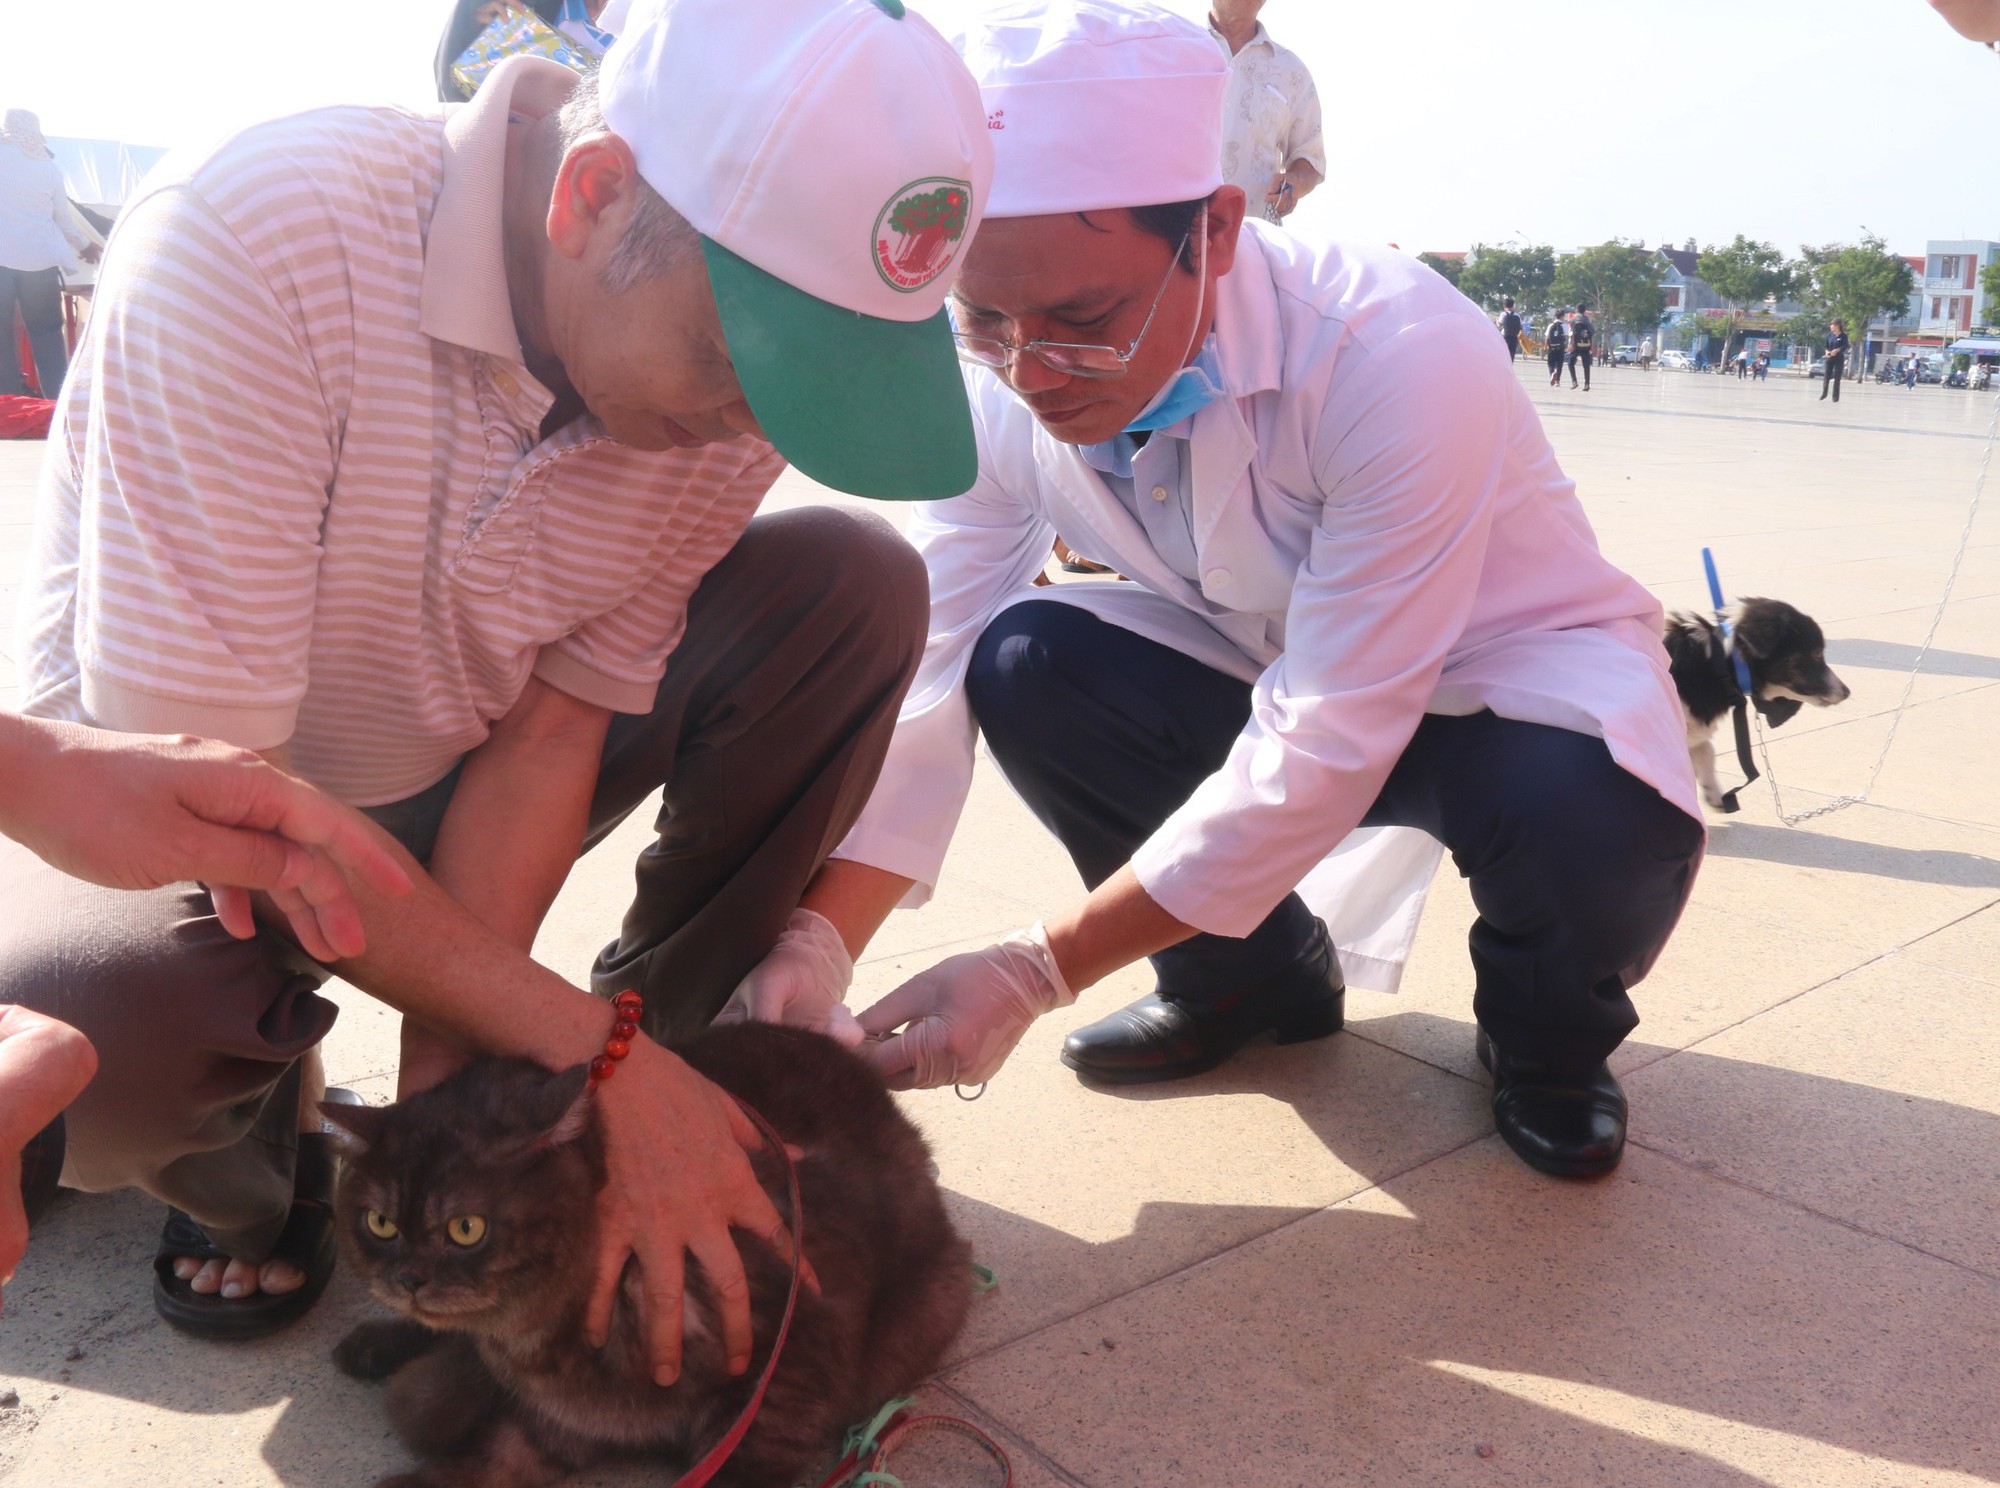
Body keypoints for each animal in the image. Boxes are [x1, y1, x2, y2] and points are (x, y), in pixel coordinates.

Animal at [326, 1024, 976, 1488]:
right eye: (380, 1224)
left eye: (466, 1229)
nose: (407, 1279)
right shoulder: (560, 1419)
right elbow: (491, 1459)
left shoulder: (779, 1392)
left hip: (932, 1303)